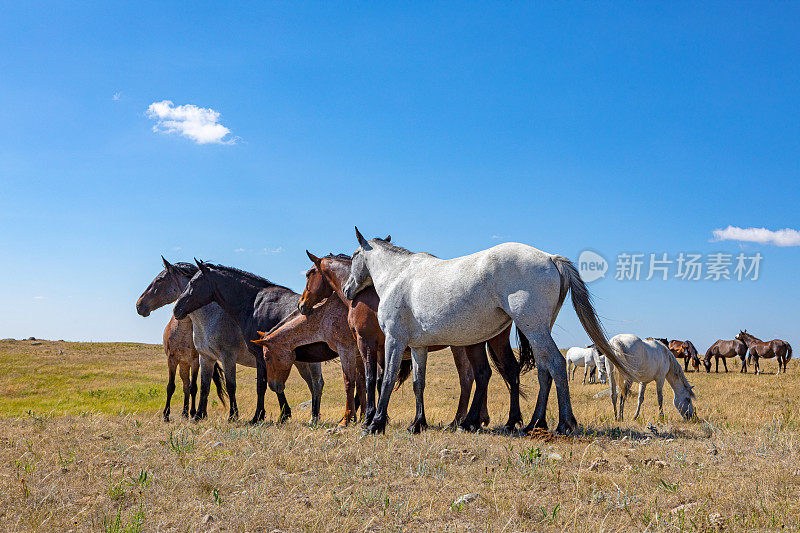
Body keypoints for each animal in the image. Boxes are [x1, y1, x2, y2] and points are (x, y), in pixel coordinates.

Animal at [137, 260, 247, 420]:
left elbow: (194, 387)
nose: (139, 305)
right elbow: (171, 387)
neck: (184, 330)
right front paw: (166, 415)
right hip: (183, 364)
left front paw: (194, 412)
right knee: (184, 385)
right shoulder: (172, 359)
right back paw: (184, 412)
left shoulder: (196, 360)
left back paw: (189, 412)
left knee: (189, 386)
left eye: (159, 280)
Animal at [173, 258, 340, 424]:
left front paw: (256, 416)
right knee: (314, 384)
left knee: (317, 384)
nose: (176, 309)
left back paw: (315, 418)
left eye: (193, 282)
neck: (252, 304)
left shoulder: (257, 356)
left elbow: (261, 386)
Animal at [300, 250, 524, 432]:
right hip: (493, 341)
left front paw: (368, 418)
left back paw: (463, 421)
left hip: (467, 345)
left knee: (471, 378)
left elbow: (369, 379)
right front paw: (381, 417)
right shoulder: (382, 348)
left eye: (309, 274)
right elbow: (381, 380)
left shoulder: (367, 343)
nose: (302, 305)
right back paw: (483, 420)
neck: (364, 294)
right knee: (506, 371)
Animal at [340, 227, 636, 434]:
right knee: (543, 370)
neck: (399, 275)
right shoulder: (417, 346)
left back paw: (564, 424)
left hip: (533, 328)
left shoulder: (394, 340)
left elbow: (386, 379)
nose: (347, 289)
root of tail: (550, 258)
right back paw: (533, 423)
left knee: (555, 364)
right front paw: (417, 424)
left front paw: (375, 424)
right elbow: (418, 383)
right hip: (537, 330)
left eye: (353, 256)